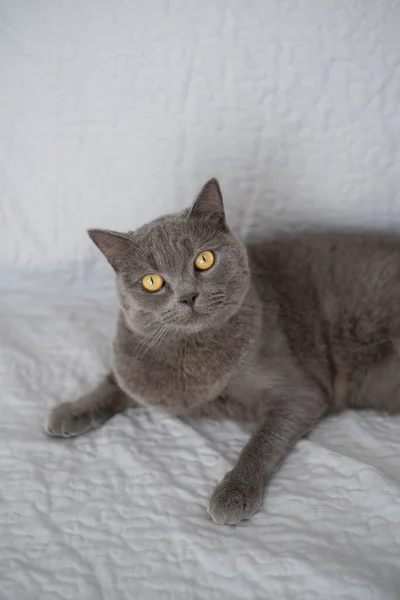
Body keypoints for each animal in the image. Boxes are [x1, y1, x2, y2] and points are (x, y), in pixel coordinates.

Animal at [46, 178, 400, 524]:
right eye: (151, 282)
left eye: (204, 260)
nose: (188, 296)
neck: (191, 355)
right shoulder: (137, 368)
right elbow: (114, 382)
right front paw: (72, 411)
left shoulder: (300, 392)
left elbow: (262, 440)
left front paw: (234, 494)